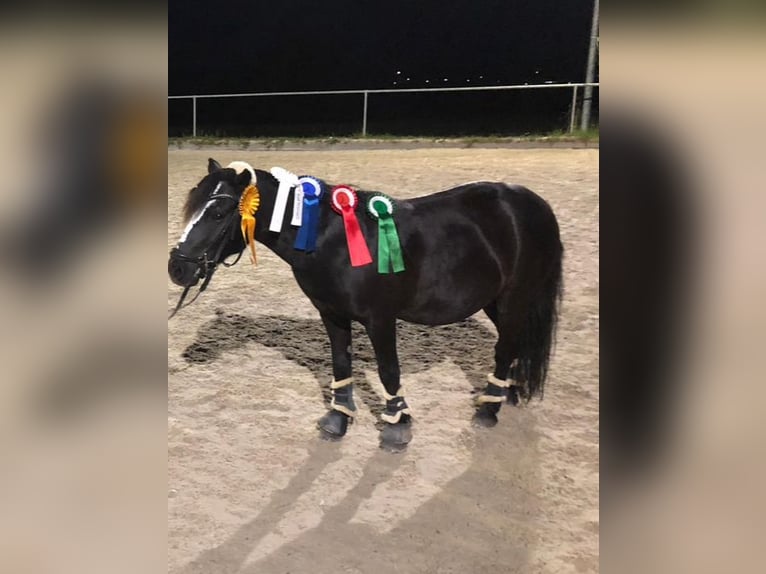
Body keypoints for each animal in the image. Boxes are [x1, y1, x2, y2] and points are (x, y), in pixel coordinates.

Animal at [170, 160, 564, 452]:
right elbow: (340, 362)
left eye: (219, 212)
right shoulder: (332, 315)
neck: (330, 241)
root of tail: (534, 204)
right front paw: (338, 419)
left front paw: (397, 427)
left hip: (514, 298)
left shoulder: (380, 319)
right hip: (497, 302)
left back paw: (488, 410)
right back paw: (507, 393)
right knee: (514, 343)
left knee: (505, 347)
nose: (177, 268)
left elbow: (389, 371)